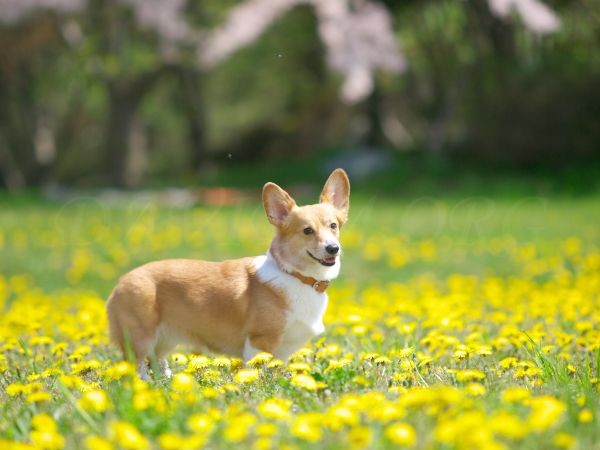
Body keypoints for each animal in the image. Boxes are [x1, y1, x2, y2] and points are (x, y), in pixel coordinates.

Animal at [107, 170, 350, 380]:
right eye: (307, 231)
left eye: (333, 226)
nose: (333, 248)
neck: (296, 276)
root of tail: (120, 283)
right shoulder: (259, 341)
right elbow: (256, 372)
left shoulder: (282, 351)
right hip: (140, 337)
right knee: (138, 365)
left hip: (165, 338)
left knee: (157, 360)